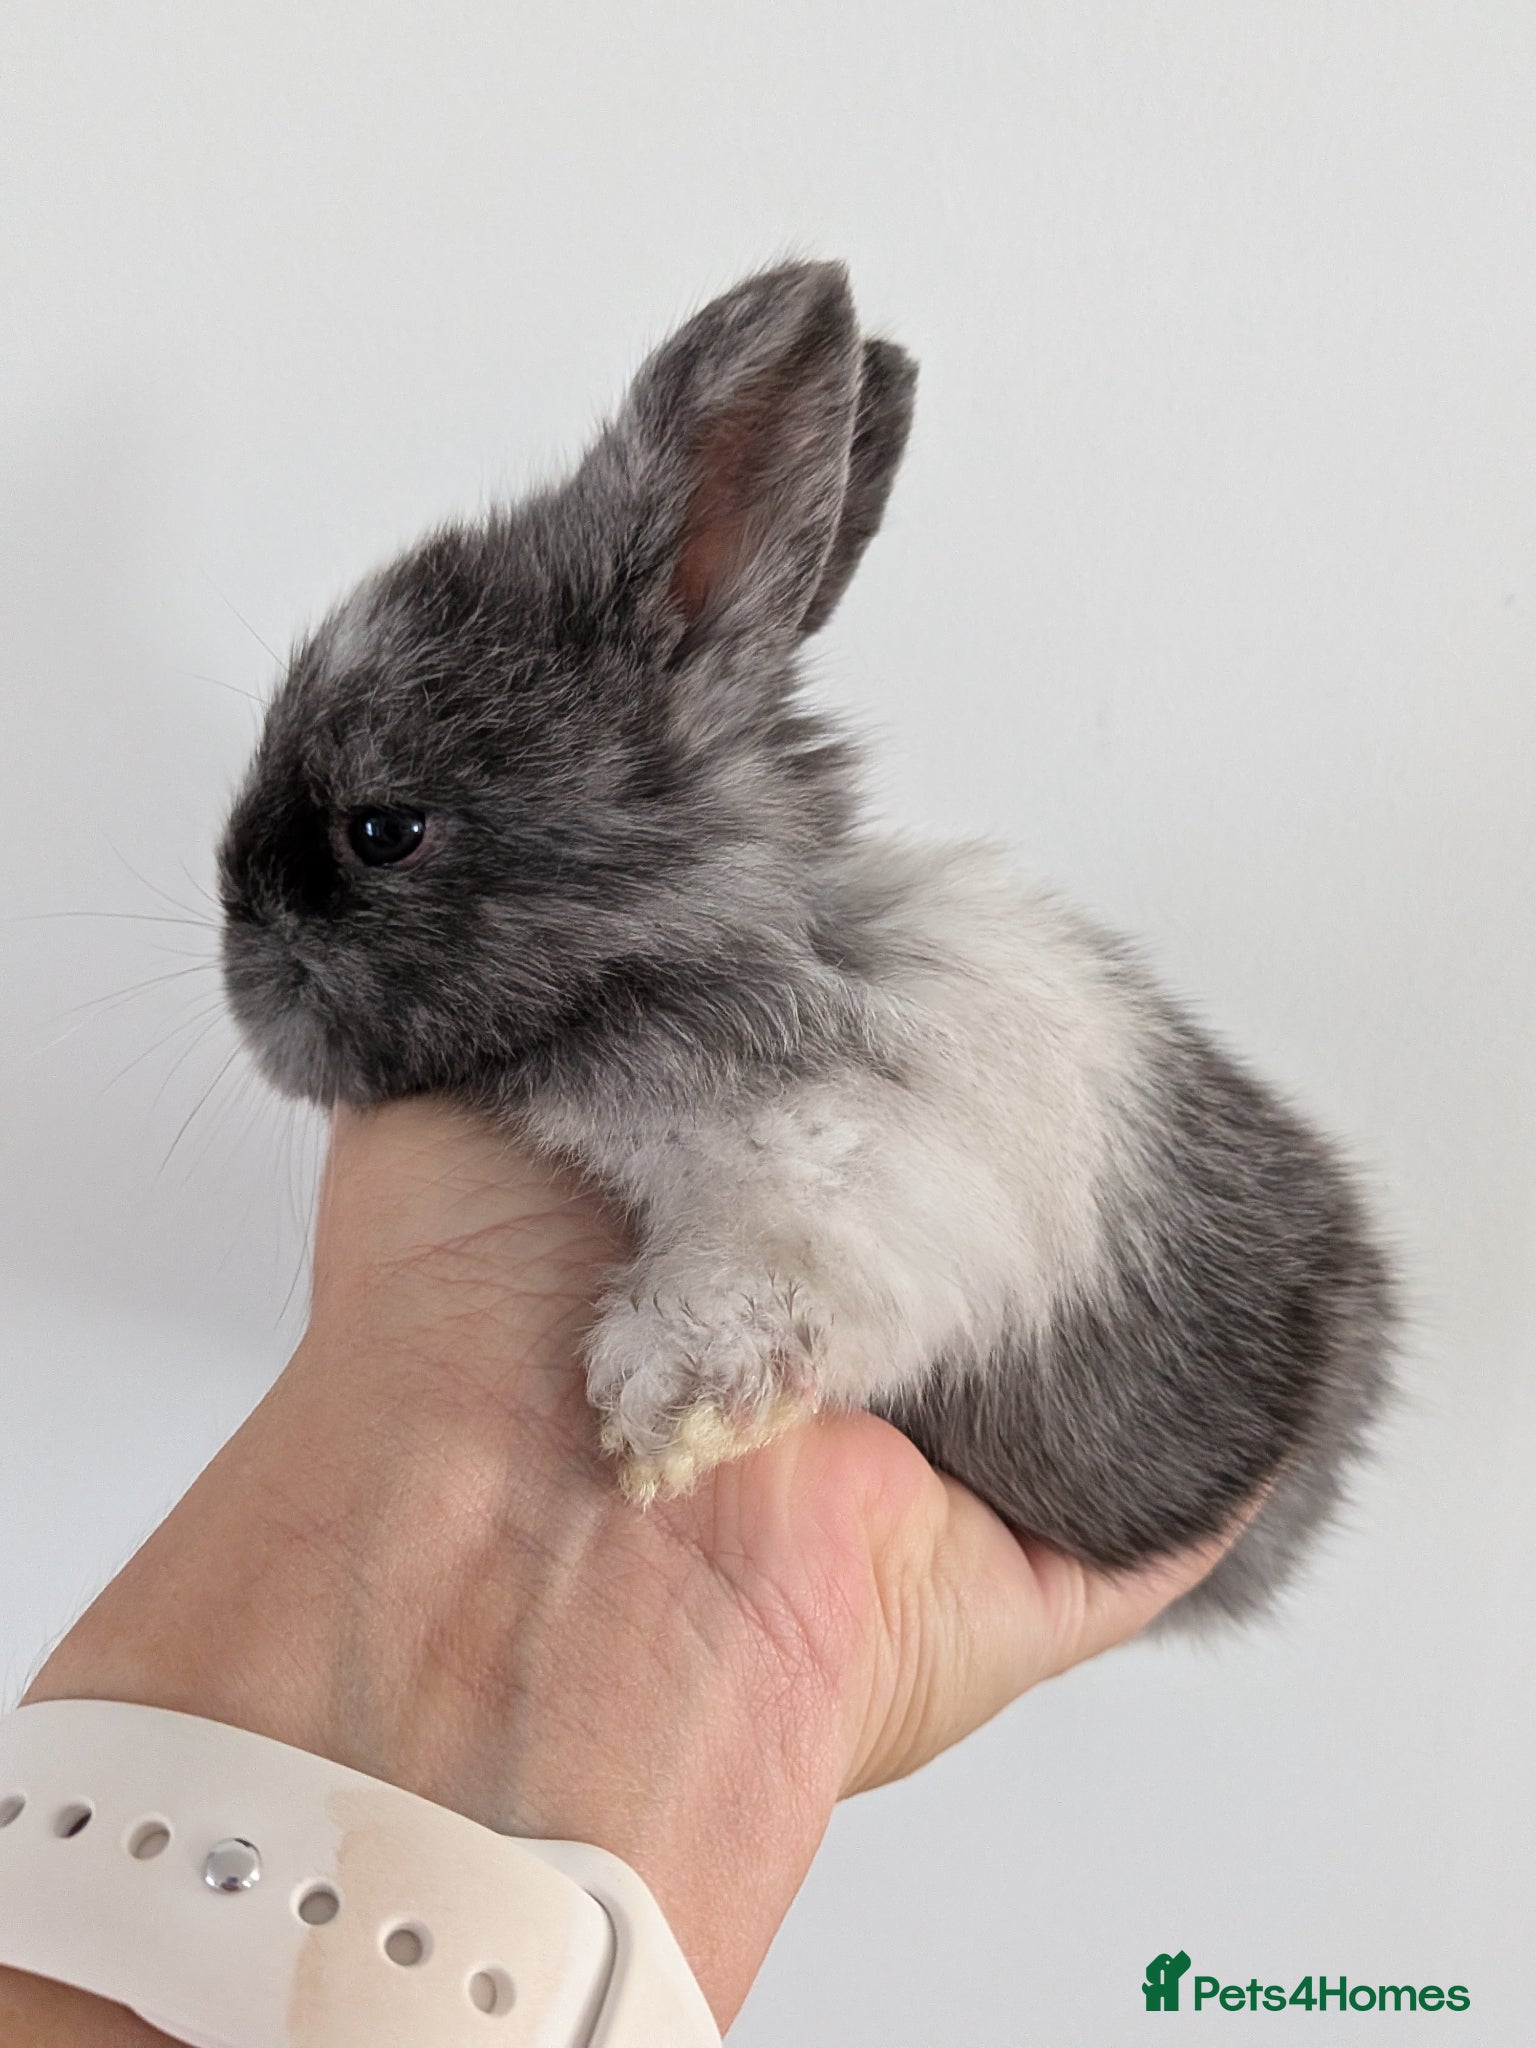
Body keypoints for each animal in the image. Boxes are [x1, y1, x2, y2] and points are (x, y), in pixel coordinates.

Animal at [219, 260, 1394, 1627]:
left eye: (383, 830)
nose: (241, 971)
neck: (700, 960)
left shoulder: (846, 1182)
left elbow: (747, 1283)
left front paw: (655, 1421)